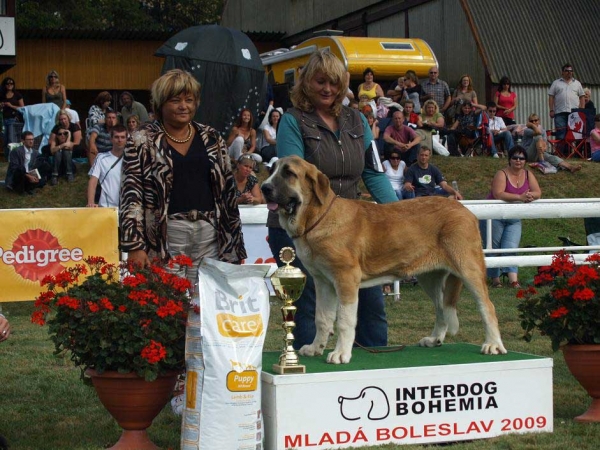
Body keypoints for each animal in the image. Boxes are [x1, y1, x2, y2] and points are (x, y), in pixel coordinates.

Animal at [262, 156, 506, 364]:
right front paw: (315, 348)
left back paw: (493, 344)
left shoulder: (345, 279)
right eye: (271, 170)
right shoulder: (323, 282)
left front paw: (341, 353)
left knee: (487, 306)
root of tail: (465, 209)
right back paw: (435, 339)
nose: (264, 187)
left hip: (468, 268)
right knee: (440, 308)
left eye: (289, 173)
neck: (318, 217)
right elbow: (322, 318)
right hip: (429, 277)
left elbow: (345, 321)